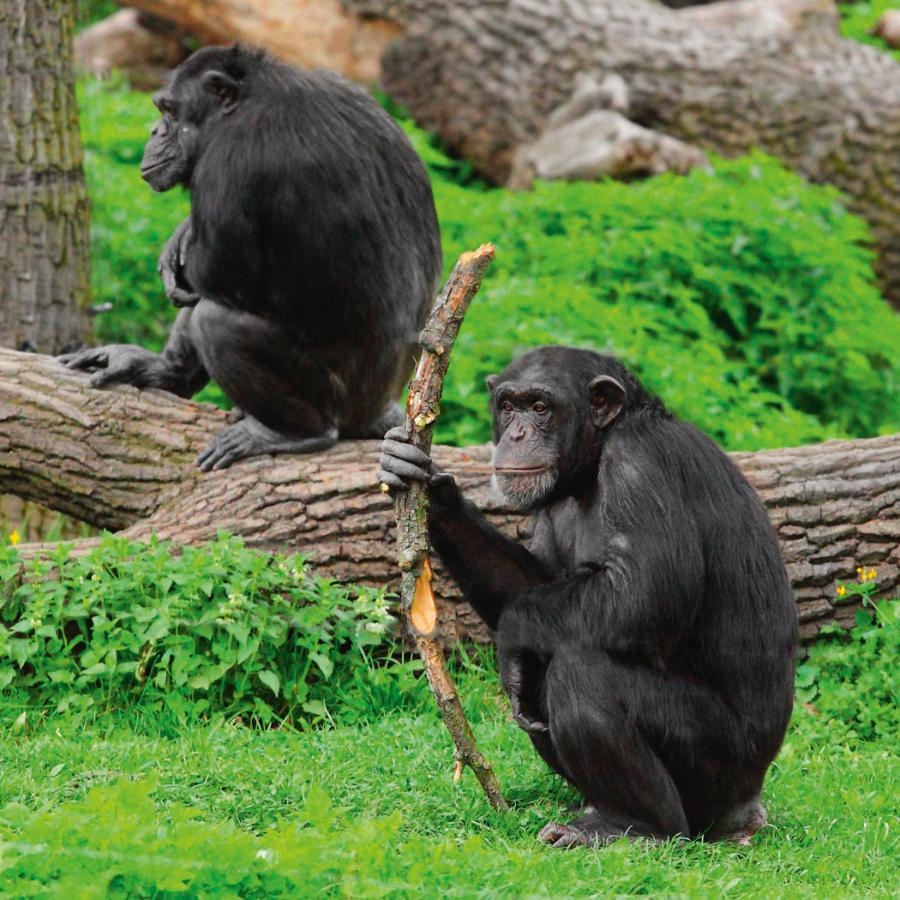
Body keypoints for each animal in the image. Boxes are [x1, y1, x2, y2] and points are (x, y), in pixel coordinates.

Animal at [61, 44, 442, 472]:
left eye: (170, 112)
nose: (154, 131)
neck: (248, 96)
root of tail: (379, 408)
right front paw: (178, 240)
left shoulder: (231, 156)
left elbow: (218, 270)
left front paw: (183, 239)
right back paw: (162, 369)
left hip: (340, 398)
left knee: (216, 320)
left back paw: (293, 432)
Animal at [378, 348, 796, 848]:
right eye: (508, 406)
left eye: (541, 407)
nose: (517, 433)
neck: (592, 467)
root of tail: (748, 810)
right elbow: (538, 582)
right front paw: (429, 489)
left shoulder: (641, 463)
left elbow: (644, 594)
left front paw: (511, 641)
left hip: (720, 767)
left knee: (582, 670)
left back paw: (632, 825)